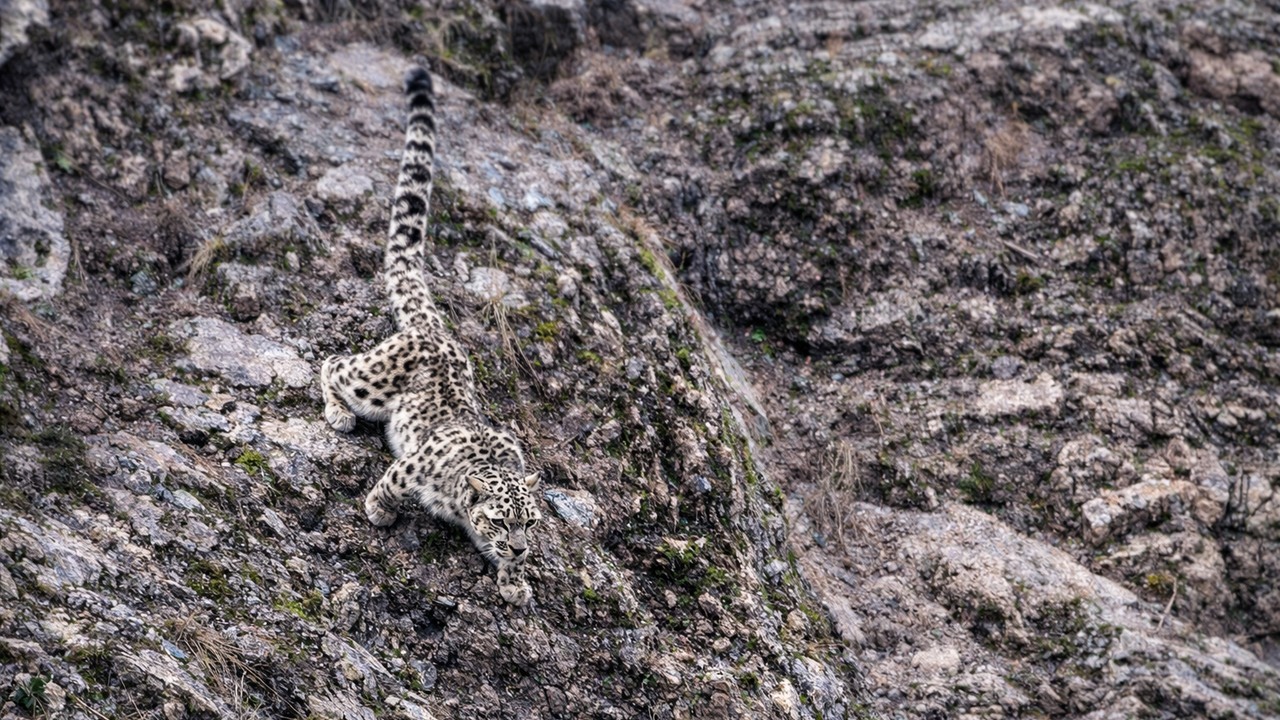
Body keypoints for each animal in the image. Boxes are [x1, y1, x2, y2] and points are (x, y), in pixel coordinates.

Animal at [319, 67, 542, 606]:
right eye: (502, 519)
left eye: (530, 523)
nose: (521, 548)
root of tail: (433, 327)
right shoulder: (414, 467)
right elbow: (391, 484)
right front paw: (379, 511)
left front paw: (515, 581)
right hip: (373, 382)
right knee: (333, 363)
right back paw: (338, 413)